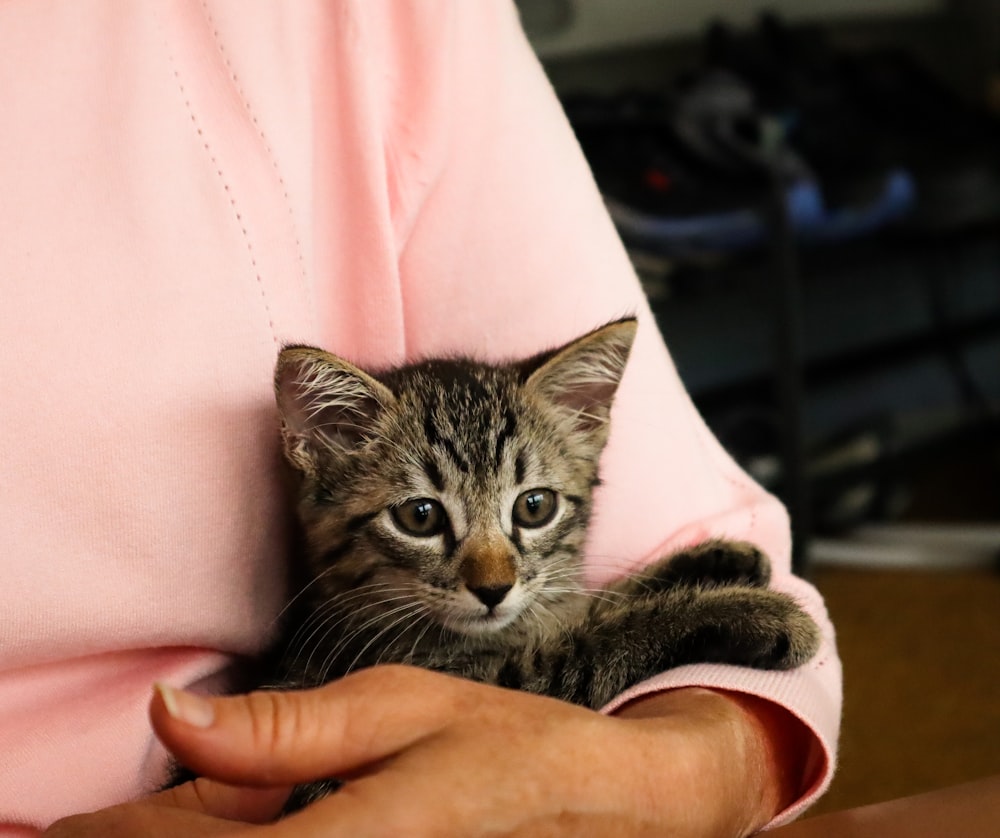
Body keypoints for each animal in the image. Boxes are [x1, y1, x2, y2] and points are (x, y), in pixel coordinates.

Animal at [268, 318, 820, 812]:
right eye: (419, 516)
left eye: (534, 507)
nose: (494, 588)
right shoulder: (478, 692)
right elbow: (602, 638)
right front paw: (754, 613)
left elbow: (592, 602)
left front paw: (718, 560)